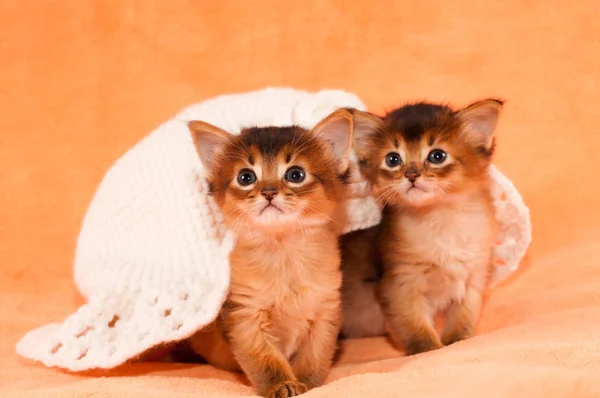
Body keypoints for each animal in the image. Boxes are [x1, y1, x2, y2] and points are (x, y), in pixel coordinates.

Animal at [185, 109, 372, 398]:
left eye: (295, 175)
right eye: (246, 177)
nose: (269, 192)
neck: (284, 252)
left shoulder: (325, 311)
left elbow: (314, 358)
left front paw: (307, 384)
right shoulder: (246, 316)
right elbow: (266, 361)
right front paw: (282, 385)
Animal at [342, 98, 502, 354]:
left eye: (437, 156)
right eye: (393, 159)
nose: (411, 175)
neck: (441, 220)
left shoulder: (473, 277)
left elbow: (463, 319)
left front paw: (457, 341)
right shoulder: (401, 283)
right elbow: (416, 329)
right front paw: (429, 349)